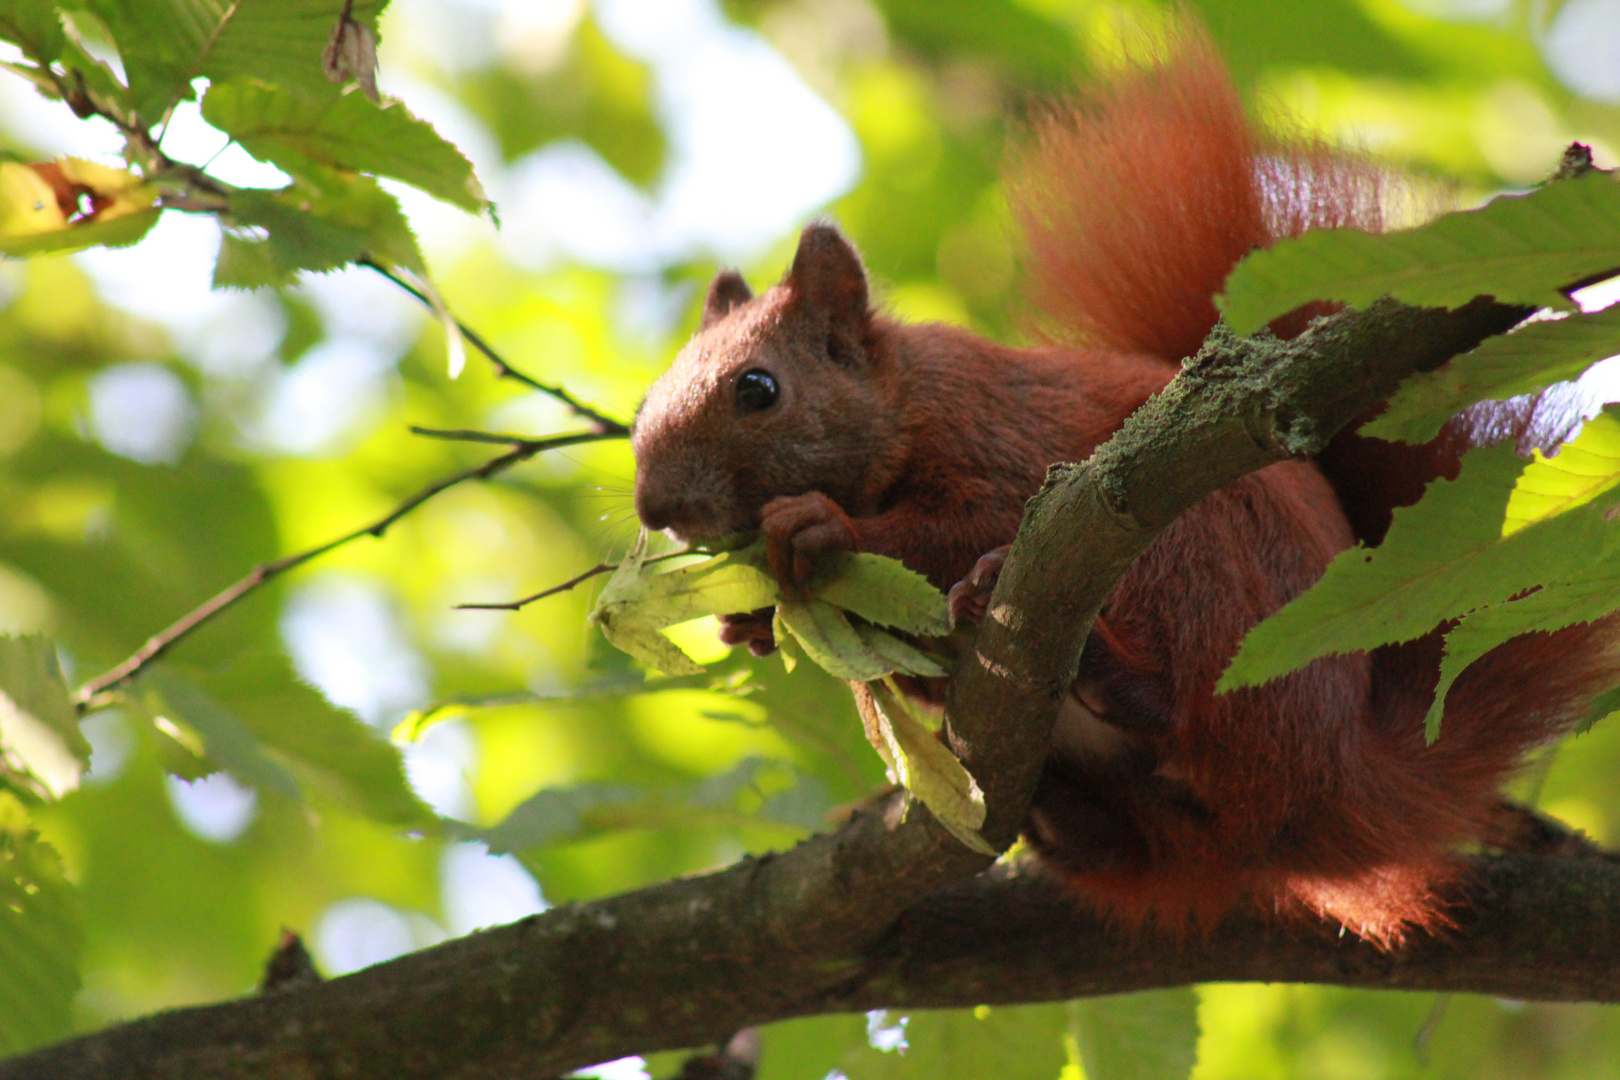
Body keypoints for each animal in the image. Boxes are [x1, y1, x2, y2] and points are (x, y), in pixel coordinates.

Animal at [628, 25, 1620, 945]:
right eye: (645, 398)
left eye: (759, 389)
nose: (655, 508)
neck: (906, 401)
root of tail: (1331, 779)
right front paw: (749, 618)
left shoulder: (1008, 454)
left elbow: (959, 525)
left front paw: (817, 528)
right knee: (1119, 838)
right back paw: (1056, 816)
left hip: (1197, 564)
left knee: (1175, 709)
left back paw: (1098, 670)